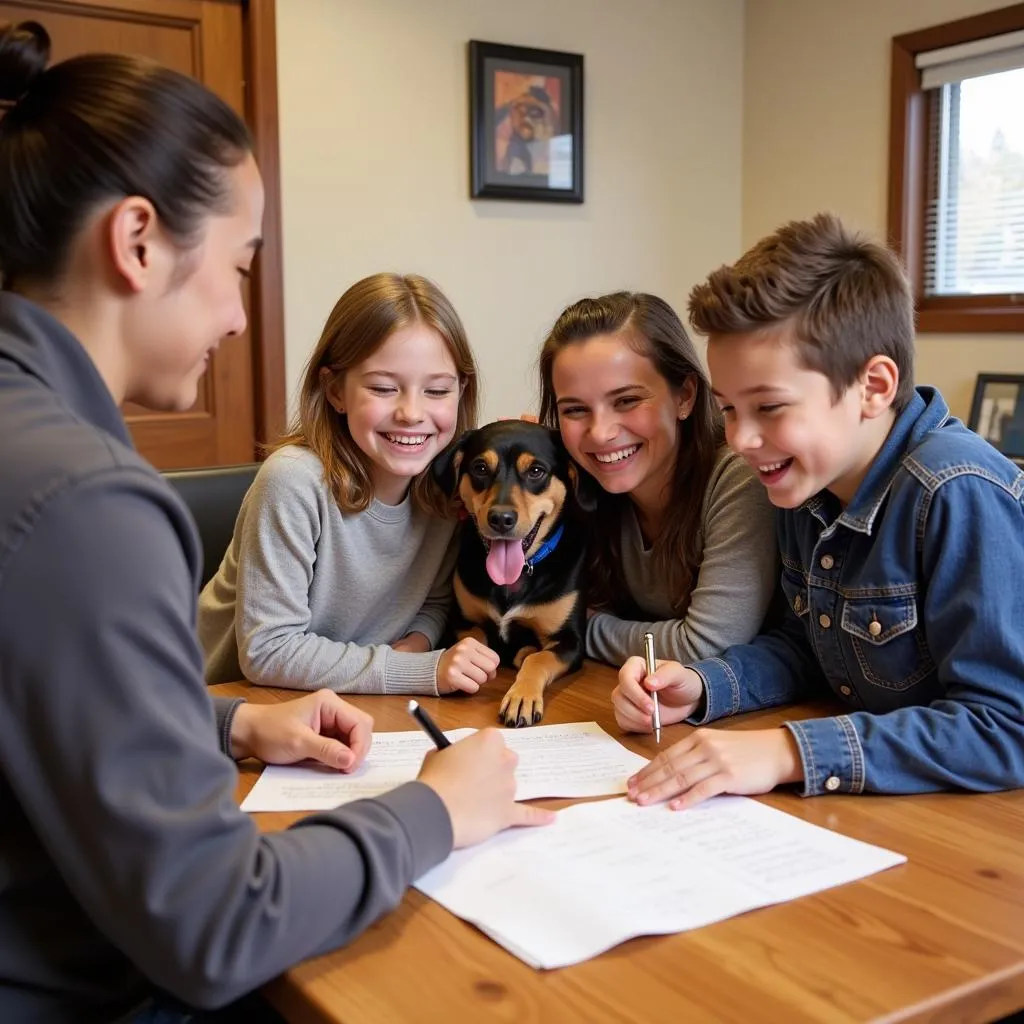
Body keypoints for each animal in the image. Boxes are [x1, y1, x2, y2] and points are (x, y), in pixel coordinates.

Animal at [434, 419, 598, 724]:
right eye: (480, 468)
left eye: (536, 471)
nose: (501, 519)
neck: (520, 574)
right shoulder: (461, 621)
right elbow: (474, 639)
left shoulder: (570, 641)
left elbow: (539, 659)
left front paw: (522, 697)